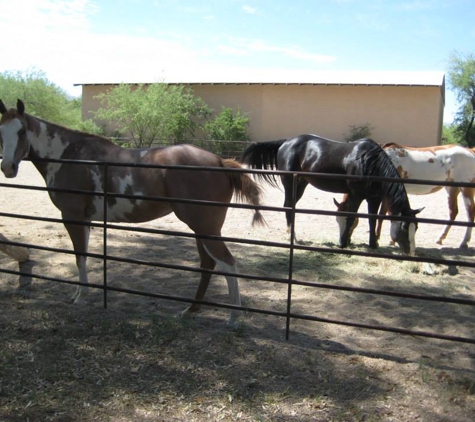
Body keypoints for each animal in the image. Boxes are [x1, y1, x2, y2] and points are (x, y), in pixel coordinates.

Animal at [0, 99, 266, 326]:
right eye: (1, 131)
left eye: (22, 131)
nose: (8, 168)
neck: (69, 157)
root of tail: (220, 162)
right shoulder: (84, 219)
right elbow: (83, 256)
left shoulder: (72, 217)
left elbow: (79, 257)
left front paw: (80, 297)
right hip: (202, 229)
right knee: (208, 264)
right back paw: (189, 311)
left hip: (205, 228)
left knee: (227, 263)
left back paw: (232, 318)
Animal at [244, 134, 422, 254]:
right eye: (404, 227)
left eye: (416, 227)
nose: (411, 252)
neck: (369, 162)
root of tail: (286, 142)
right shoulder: (356, 195)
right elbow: (351, 218)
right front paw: (343, 243)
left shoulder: (374, 198)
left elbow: (372, 219)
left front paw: (373, 244)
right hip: (290, 184)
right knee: (288, 206)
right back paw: (292, 237)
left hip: (301, 184)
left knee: (291, 206)